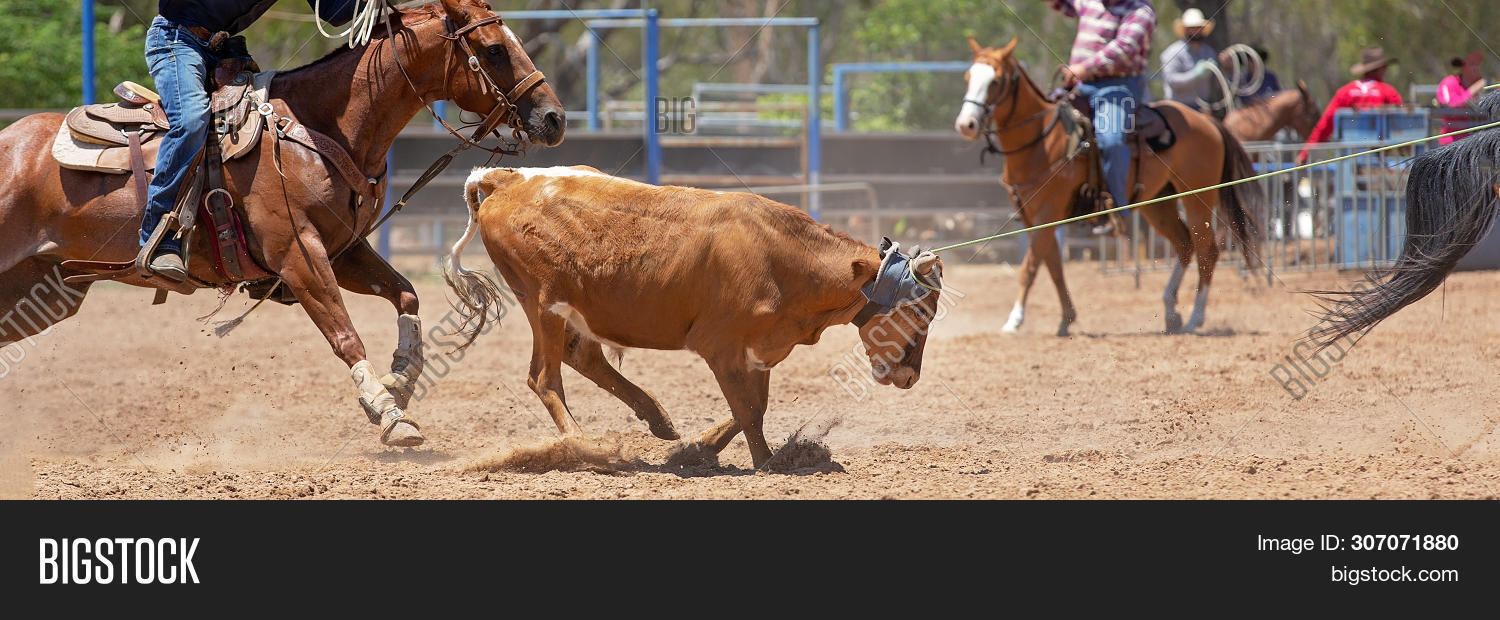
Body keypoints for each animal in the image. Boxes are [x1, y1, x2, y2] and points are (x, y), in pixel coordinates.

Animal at [442, 166, 944, 468]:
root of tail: (508, 180)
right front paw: (762, 461)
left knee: (580, 355)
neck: (783, 257)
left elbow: (753, 407)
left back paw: (657, 420)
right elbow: (747, 410)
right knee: (546, 378)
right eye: (921, 308)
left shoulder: (759, 348)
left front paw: (709, 449)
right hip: (542, 302)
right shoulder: (720, 347)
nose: (910, 376)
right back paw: (591, 449)